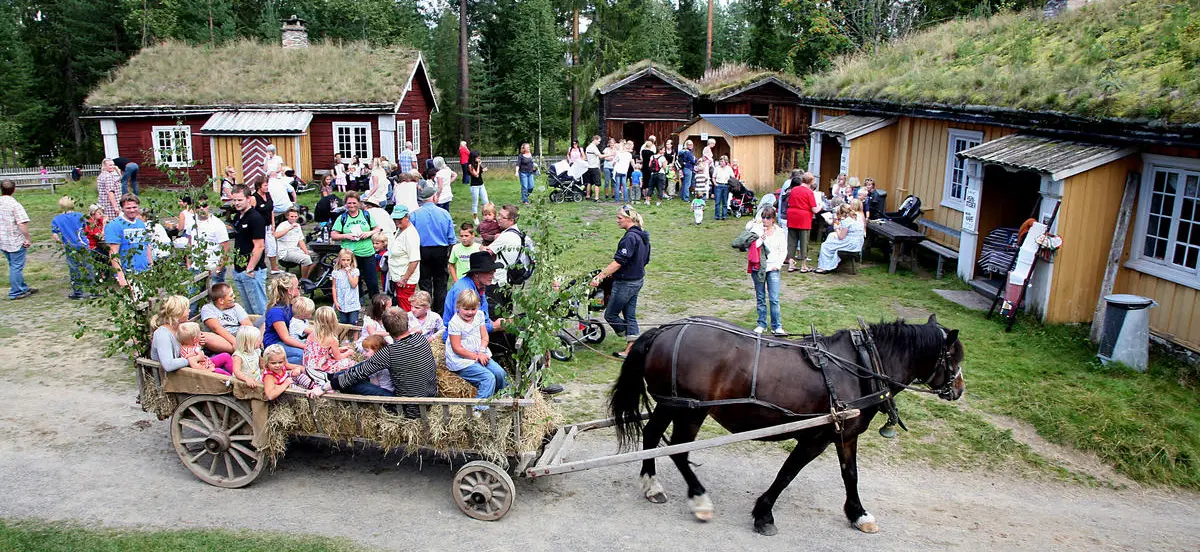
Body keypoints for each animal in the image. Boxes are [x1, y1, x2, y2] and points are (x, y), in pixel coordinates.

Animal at [609, 314, 964, 535]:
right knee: (679, 451)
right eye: (955, 358)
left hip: (670, 404)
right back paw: (700, 500)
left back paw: (652, 486)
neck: (860, 366)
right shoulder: (816, 437)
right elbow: (787, 474)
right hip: (691, 411)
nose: (960, 389)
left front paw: (858, 514)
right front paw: (763, 514)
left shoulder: (845, 434)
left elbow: (850, 474)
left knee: (651, 435)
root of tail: (664, 329)